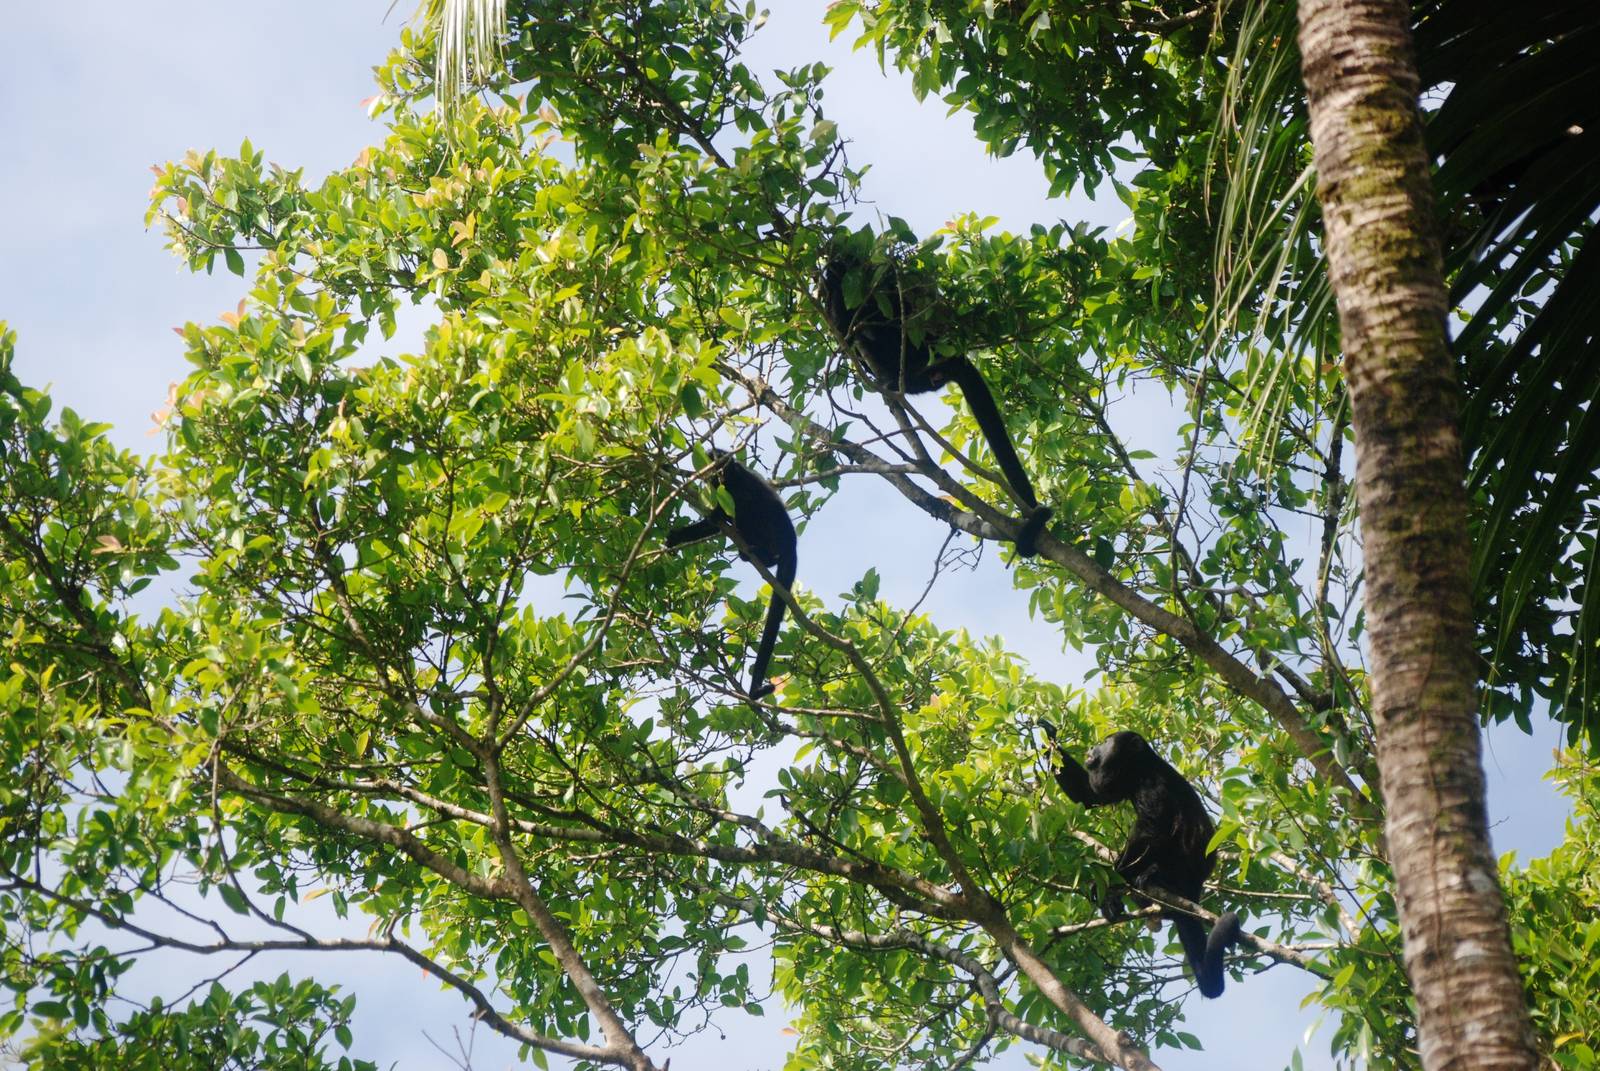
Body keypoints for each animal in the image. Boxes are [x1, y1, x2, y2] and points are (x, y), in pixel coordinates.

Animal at [664, 452, 797, 700]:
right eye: (714, 468)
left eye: (724, 467)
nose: (719, 475)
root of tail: (792, 544)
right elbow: (714, 523)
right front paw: (678, 536)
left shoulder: (742, 486)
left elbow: (738, 506)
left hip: (771, 530)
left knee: (751, 511)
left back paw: (763, 556)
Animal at [1041, 722, 1243, 998]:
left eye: (1107, 742)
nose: (1093, 747)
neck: (1140, 769)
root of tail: (1195, 890)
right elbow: (1091, 797)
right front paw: (1048, 736)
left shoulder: (1153, 786)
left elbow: (1151, 829)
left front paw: (1112, 877)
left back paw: (1154, 878)